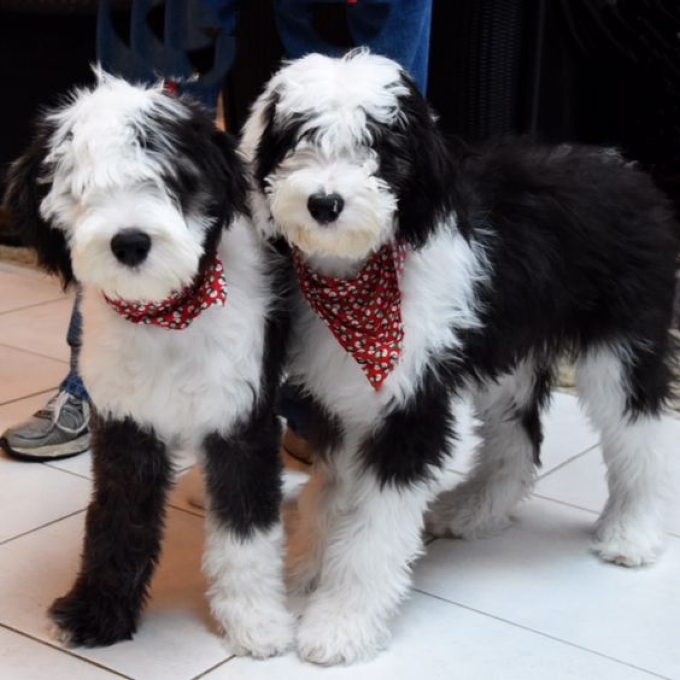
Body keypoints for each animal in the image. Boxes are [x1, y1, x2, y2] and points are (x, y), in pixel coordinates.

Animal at [242, 50, 676, 668]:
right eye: (301, 136)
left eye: (380, 147)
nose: (324, 203)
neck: (360, 283)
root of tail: (627, 168)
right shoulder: (337, 398)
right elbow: (331, 494)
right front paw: (305, 562)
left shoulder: (409, 408)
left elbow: (373, 533)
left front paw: (342, 622)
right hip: (504, 354)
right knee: (518, 440)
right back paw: (476, 510)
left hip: (620, 348)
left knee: (641, 432)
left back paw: (633, 531)